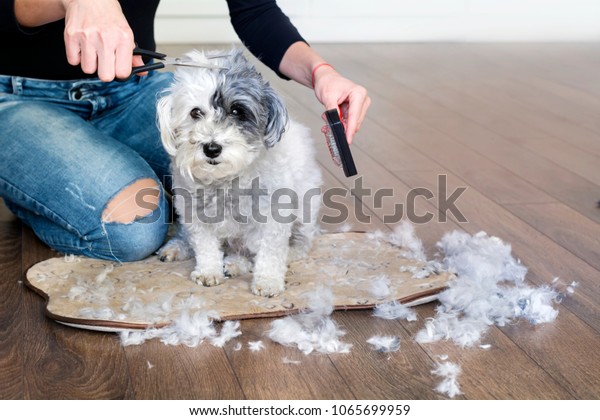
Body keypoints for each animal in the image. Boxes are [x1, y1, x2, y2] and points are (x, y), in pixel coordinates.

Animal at [156, 49, 324, 296]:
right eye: (195, 112)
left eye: (237, 110)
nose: (212, 148)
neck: (226, 180)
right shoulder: (194, 214)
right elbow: (205, 246)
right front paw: (208, 271)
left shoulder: (274, 218)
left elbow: (270, 253)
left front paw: (268, 281)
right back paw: (179, 247)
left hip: (304, 215)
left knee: (296, 245)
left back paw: (240, 263)